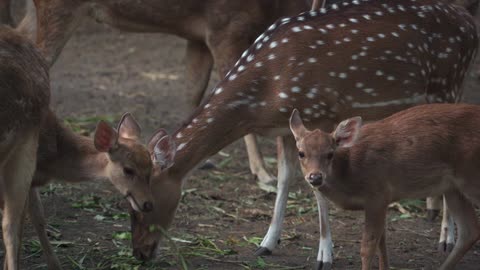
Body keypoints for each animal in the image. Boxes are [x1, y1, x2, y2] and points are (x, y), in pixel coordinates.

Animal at [288, 103, 480, 270]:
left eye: (330, 154)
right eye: (301, 153)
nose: (315, 177)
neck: (350, 173)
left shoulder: (377, 194)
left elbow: (368, 246)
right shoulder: (383, 200)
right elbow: (382, 242)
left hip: (471, 178)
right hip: (453, 188)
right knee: (469, 231)